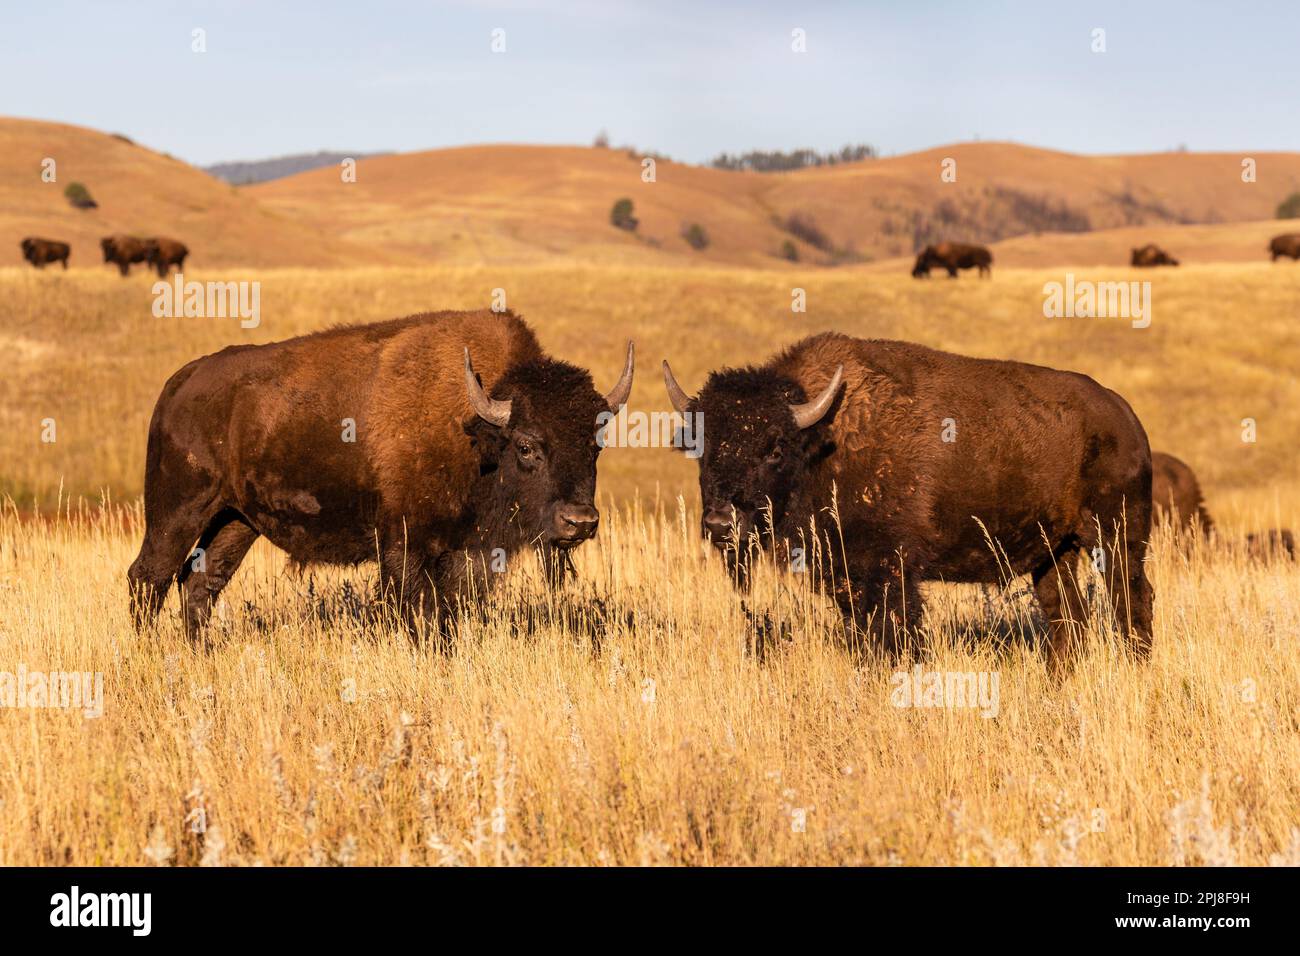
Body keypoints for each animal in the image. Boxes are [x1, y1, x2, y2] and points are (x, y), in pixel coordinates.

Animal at [128, 312, 634, 642]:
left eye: (595, 445)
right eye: (527, 446)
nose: (580, 522)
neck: (476, 432)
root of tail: (178, 384)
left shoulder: (466, 555)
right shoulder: (404, 547)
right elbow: (416, 613)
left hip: (236, 522)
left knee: (200, 584)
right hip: (178, 513)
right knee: (148, 577)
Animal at [665, 332, 1154, 671]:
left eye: (774, 448)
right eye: (702, 445)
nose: (720, 523)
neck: (825, 438)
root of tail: (1126, 418)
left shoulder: (891, 570)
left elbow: (894, 634)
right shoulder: (845, 576)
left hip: (1116, 538)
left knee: (1131, 599)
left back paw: (1137, 668)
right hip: (1054, 552)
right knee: (1067, 615)